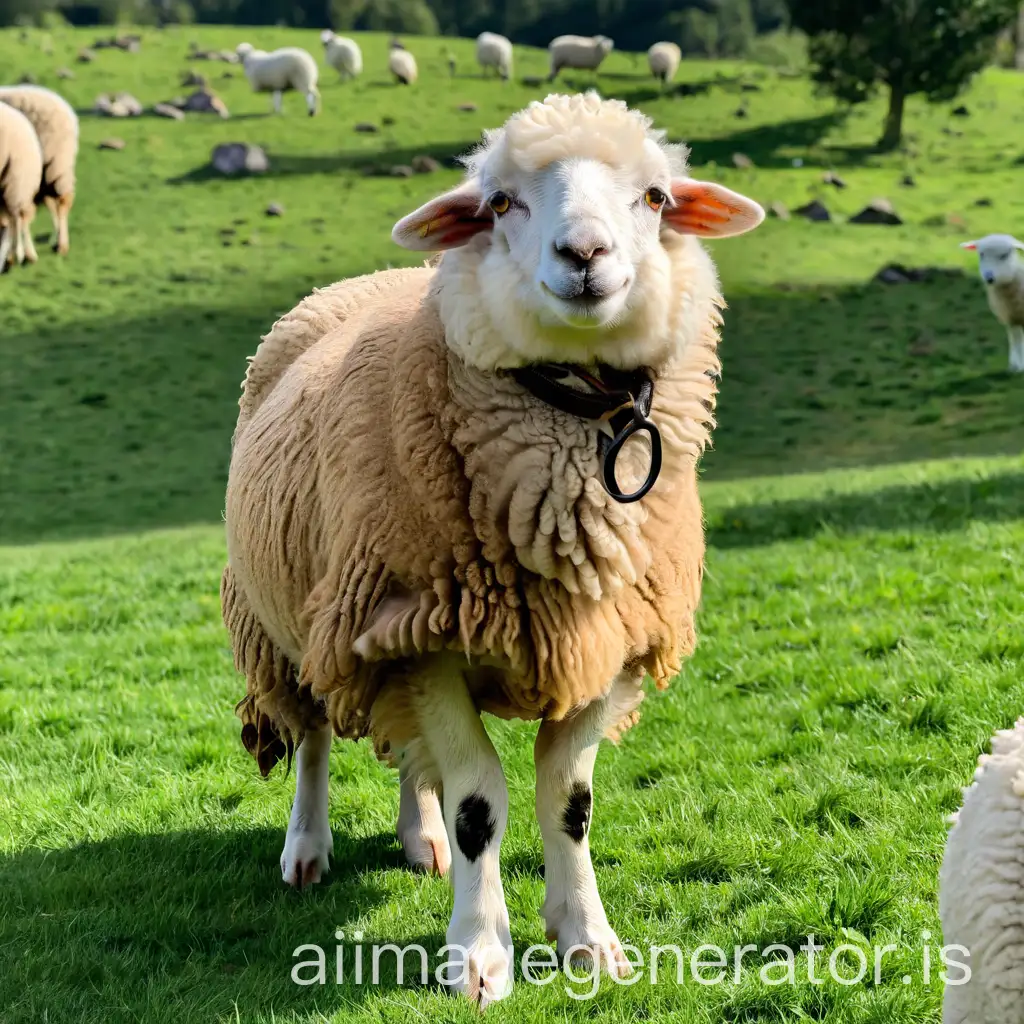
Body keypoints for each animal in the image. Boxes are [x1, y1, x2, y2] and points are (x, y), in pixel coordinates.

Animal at [226, 90, 770, 1007]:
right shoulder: (425, 639)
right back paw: (307, 848)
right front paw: (479, 956)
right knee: (314, 738)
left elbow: (568, 802)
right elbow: (479, 802)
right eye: (501, 202)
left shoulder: (601, 639)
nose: (584, 254)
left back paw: (420, 839)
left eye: (656, 197)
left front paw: (588, 939)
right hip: (298, 625)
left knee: (409, 755)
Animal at [958, 233, 1024, 372]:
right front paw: (1018, 367)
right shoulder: (1012, 318)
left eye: (1004, 255)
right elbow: (1017, 343)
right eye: (981, 254)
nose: (989, 278)